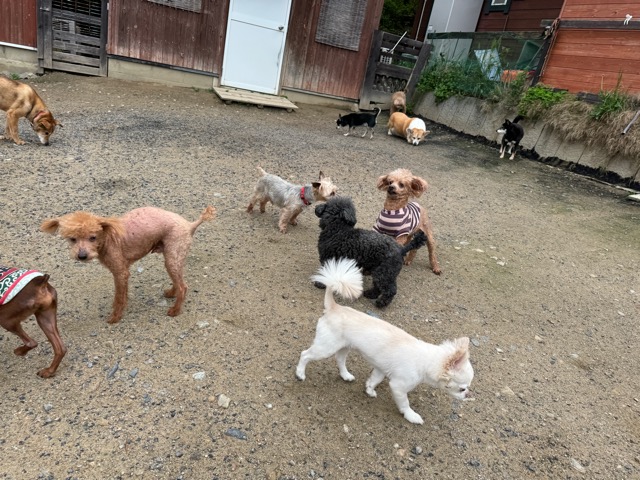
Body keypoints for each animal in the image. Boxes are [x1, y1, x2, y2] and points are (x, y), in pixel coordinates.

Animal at [40, 206, 215, 324]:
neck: (107, 238)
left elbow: (119, 297)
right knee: (178, 281)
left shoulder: (120, 272)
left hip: (173, 256)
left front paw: (115, 317)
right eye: (72, 239)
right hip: (172, 257)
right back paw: (171, 293)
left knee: (183, 286)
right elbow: (122, 295)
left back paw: (175, 310)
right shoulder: (123, 273)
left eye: (93, 237)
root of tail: (189, 224)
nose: (82, 256)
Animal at [296, 258, 474, 424]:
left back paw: (345, 375)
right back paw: (300, 374)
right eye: (462, 389)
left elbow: (374, 380)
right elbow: (405, 403)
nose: (468, 395)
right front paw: (411, 416)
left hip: (343, 346)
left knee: (339, 360)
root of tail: (334, 307)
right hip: (325, 347)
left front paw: (369, 390)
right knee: (305, 355)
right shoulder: (398, 386)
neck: (426, 361)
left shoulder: (381, 369)